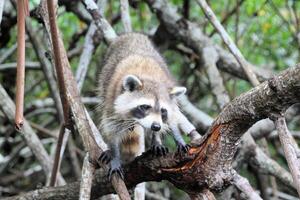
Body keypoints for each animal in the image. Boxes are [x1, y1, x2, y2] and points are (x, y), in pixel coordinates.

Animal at [97, 33, 193, 178]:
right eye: (145, 107)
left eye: (163, 111)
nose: (156, 126)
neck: (149, 77)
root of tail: (132, 34)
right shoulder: (112, 99)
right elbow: (111, 127)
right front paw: (114, 155)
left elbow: (172, 119)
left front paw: (175, 137)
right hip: (104, 80)